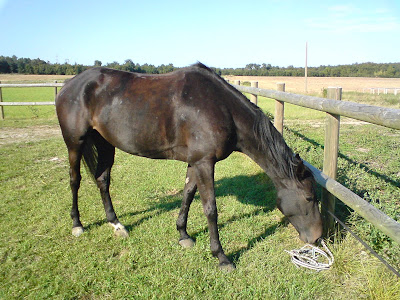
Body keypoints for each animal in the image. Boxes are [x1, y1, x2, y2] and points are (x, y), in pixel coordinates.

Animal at [56, 63, 322, 270]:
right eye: (309, 198)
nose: (317, 238)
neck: (222, 108)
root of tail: (69, 86)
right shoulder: (205, 163)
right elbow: (210, 209)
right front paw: (221, 257)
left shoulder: (196, 162)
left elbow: (187, 195)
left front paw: (183, 234)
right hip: (75, 143)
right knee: (75, 180)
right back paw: (77, 225)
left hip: (105, 143)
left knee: (102, 180)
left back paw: (116, 224)